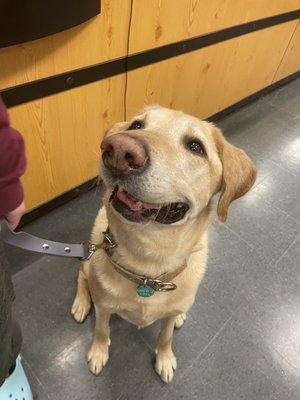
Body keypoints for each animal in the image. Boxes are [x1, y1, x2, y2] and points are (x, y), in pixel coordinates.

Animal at [71, 104, 256, 382]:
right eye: (137, 125)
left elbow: (165, 336)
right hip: (89, 263)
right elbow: (102, 330)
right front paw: (98, 352)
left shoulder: (165, 317)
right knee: (82, 276)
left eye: (195, 146)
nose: (119, 150)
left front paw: (165, 358)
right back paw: (81, 303)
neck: (148, 264)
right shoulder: (104, 308)